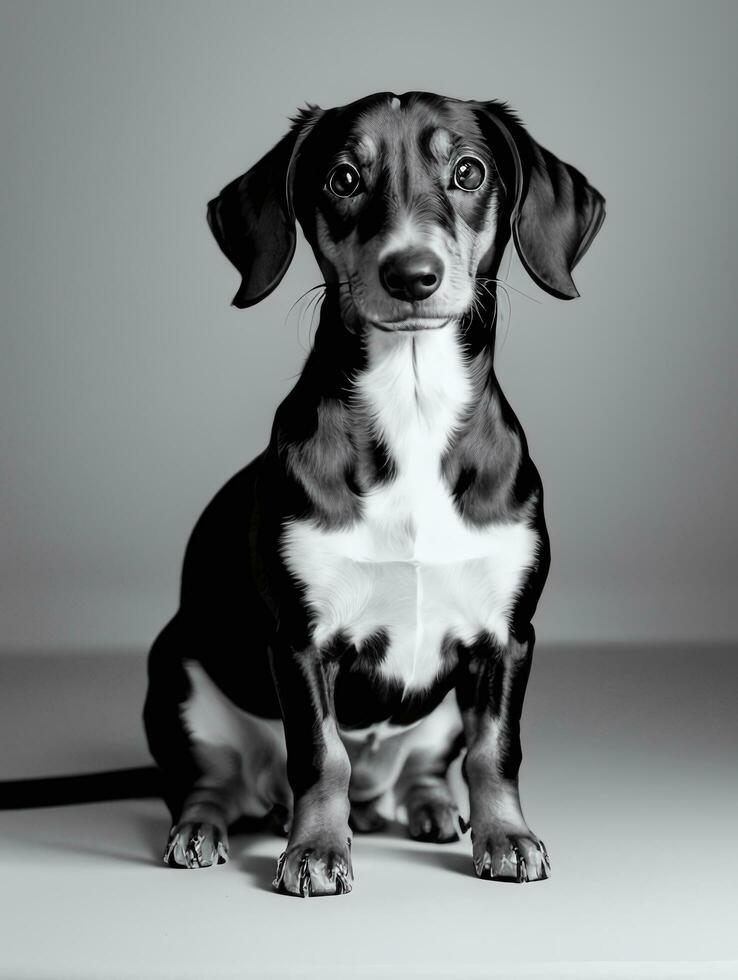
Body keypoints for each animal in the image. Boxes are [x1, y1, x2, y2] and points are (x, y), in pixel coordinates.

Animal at [144, 92, 604, 896]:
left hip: (442, 711)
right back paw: (201, 830)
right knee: (209, 780)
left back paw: (432, 809)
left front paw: (507, 837)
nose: (411, 274)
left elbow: (495, 750)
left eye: (469, 170)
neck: (411, 406)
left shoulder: (507, 635)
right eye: (343, 178)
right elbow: (321, 753)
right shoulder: (299, 638)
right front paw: (317, 850)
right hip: (176, 672)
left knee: (424, 767)